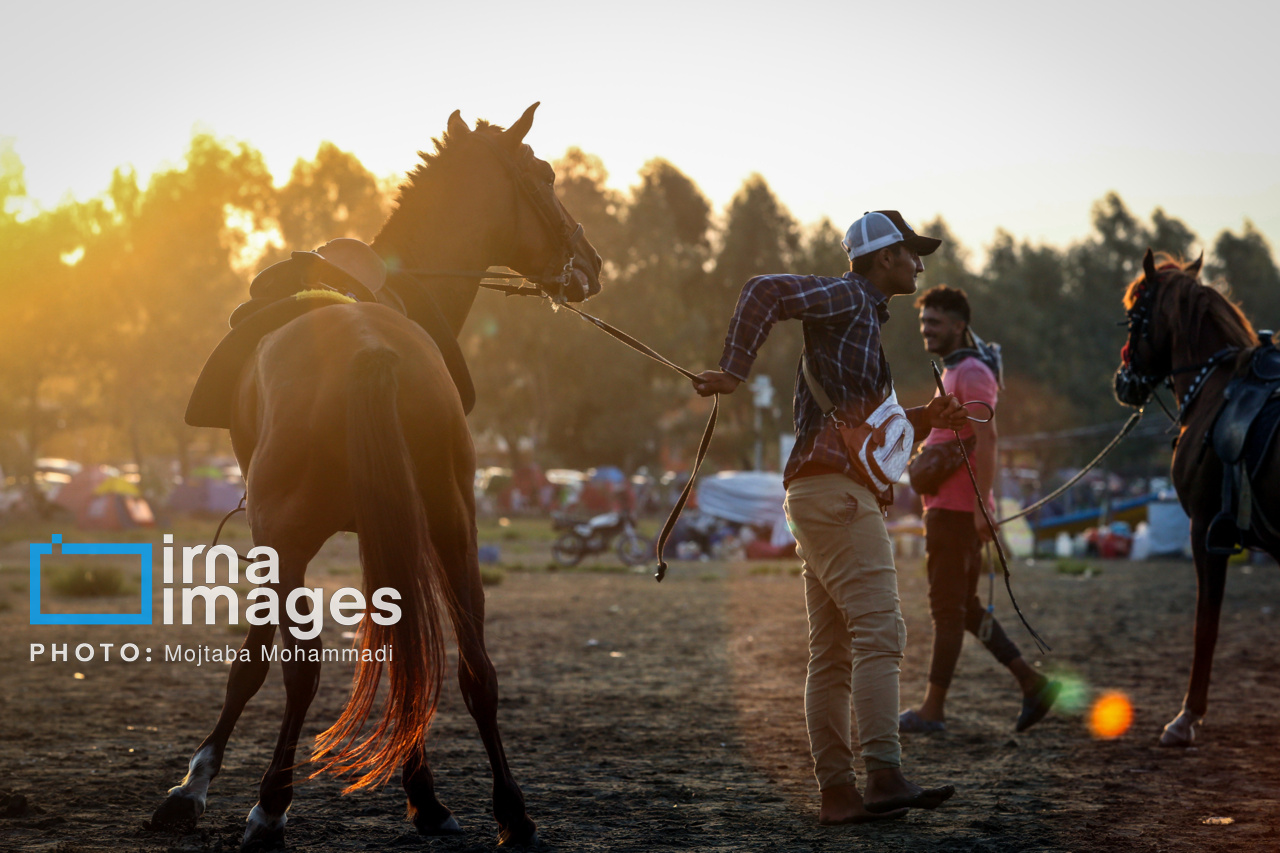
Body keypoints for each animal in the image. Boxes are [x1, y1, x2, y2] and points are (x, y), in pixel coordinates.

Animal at [147, 103, 606, 845]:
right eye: (545, 175)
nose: (590, 264)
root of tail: (370, 348)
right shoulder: (392, 530)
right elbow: (401, 655)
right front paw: (426, 797)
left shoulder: (276, 540)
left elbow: (253, 662)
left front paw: (194, 784)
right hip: (451, 523)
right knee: (475, 666)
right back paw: (513, 814)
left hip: (291, 538)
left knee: (301, 671)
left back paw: (270, 807)